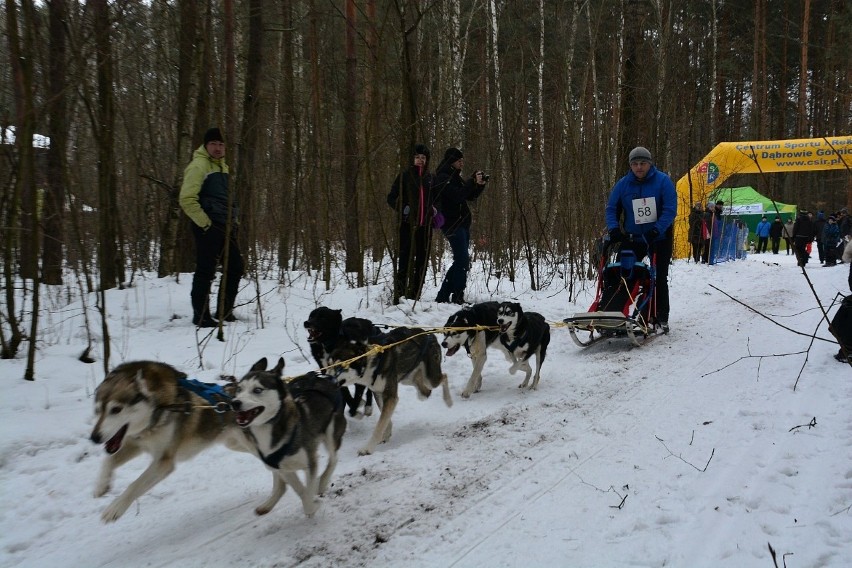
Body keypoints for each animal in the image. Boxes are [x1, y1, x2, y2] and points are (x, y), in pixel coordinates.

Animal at [93, 364, 255, 524]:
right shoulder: (136, 445)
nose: (94, 437)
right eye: (97, 410)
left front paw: (114, 508)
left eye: (116, 409)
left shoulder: (163, 462)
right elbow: (108, 461)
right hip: (235, 445)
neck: (159, 410)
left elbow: (135, 484)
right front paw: (102, 486)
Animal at [230, 358, 346, 516]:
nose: (235, 403)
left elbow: (307, 493)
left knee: (333, 459)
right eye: (239, 389)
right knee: (281, 485)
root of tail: (326, 379)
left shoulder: (310, 462)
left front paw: (313, 505)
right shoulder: (284, 468)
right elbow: (300, 491)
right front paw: (311, 502)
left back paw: (322, 482)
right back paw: (268, 504)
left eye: (257, 390)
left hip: (331, 432)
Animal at [332, 326, 456, 454]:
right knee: (423, 388)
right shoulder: (379, 393)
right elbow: (385, 419)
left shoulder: (390, 395)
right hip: (408, 378)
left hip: (430, 379)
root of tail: (430, 334)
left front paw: (367, 448)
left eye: (342, 366)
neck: (371, 361)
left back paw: (448, 401)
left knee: (444, 377)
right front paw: (386, 434)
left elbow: (379, 425)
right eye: (333, 366)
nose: (331, 380)